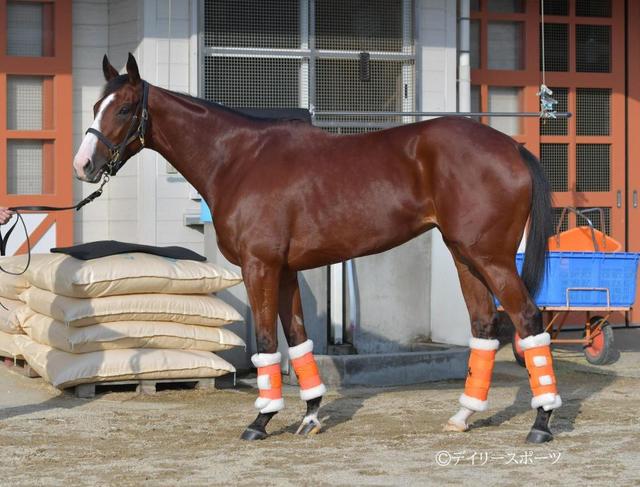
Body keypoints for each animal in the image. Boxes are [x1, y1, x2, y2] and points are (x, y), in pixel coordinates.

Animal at [74, 54, 560, 446]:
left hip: (491, 259)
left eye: (123, 108)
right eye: (96, 107)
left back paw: (541, 422)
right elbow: (298, 338)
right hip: (465, 257)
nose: (84, 166)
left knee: (527, 319)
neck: (239, 160)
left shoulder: (260, 267)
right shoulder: (287, 271)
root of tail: (512, 148)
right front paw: (310, 417)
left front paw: (260, 422)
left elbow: (268, 341)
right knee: (483, 325)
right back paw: (463, 415)